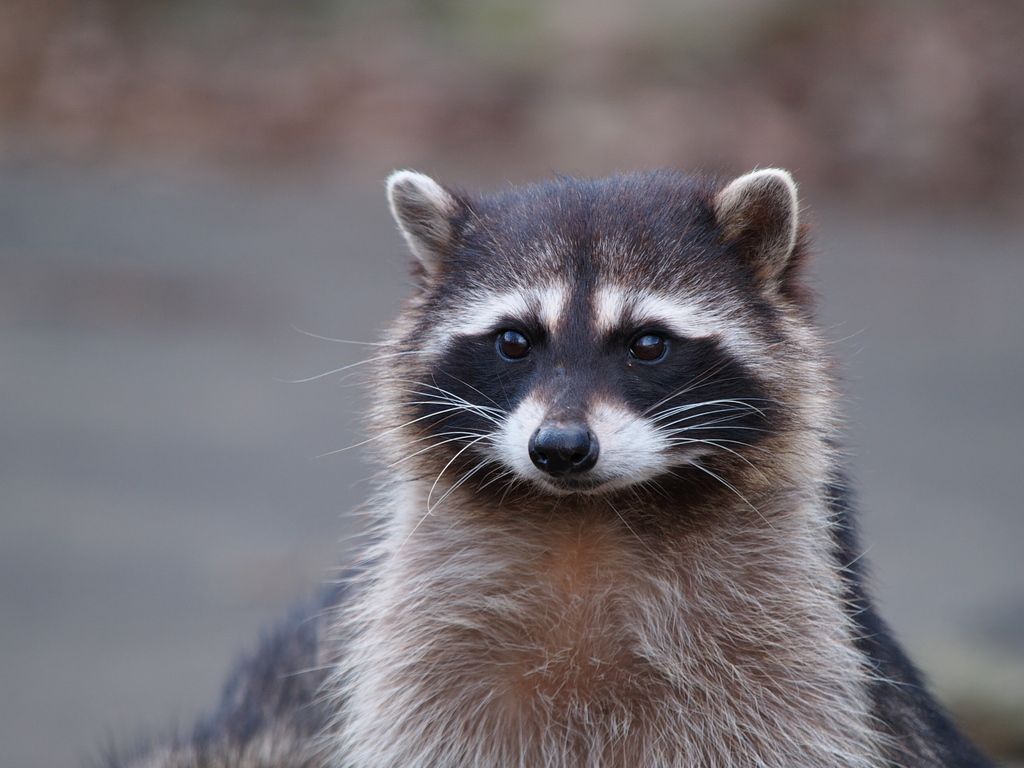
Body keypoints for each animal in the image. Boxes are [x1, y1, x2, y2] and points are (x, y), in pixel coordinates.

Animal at [101, 169, 991, 768]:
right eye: (513, 341)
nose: (561, 449)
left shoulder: (790, 662)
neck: (584, 523)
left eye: (647, 343)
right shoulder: (421, 663)